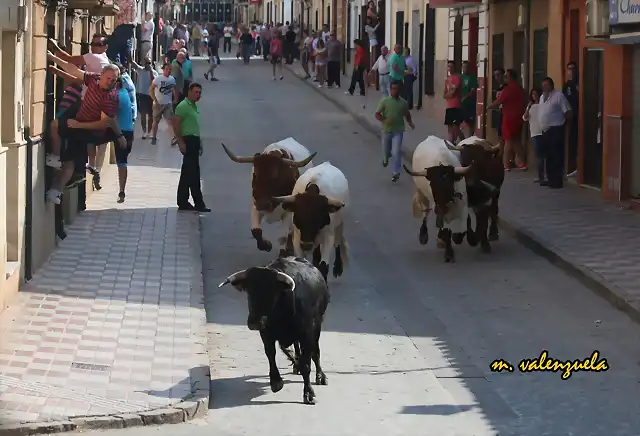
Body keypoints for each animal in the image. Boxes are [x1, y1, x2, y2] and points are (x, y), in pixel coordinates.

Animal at [219, 258, 330, 404]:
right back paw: (296, 364)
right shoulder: (266, 333)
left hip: (317, 325)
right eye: (249, 291)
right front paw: (276, 382)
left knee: (315, 352)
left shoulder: (307, 332)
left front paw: (309, 393)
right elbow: (271, 354)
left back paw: (320, 376)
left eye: (271, 292)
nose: (254, 322)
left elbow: (307, 362)